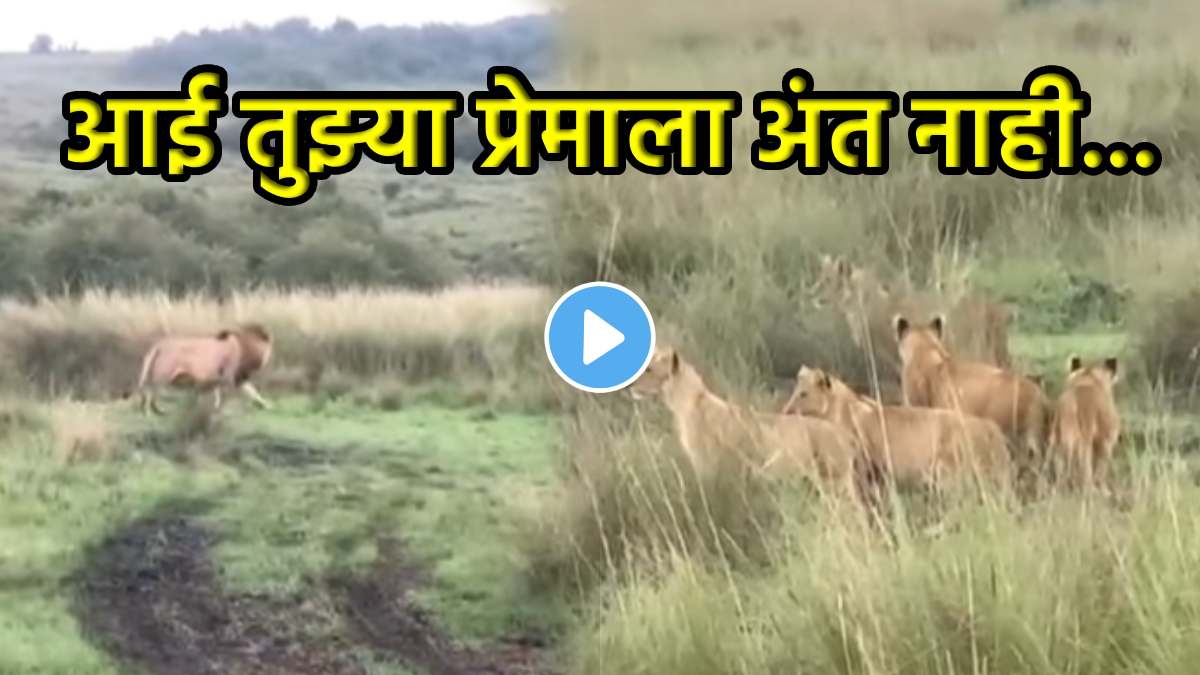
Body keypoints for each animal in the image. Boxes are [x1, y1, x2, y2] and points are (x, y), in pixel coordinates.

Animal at [136, 323, 274, 415]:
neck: (246, 346)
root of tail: (159, 345)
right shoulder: (229, 376)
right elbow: (233, 393)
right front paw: (224, 409)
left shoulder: (233, 377)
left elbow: (252, 392)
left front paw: (265, 405)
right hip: (163, 374)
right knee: (150, 391)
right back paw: (150, 412)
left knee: (152, 392)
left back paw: (157, 411)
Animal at [629, 348, 866, 497]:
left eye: (649, 369)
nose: (631, 386)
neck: (689, 400)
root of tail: (847, 436)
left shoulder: (707, 467)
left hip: (834, 482)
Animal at [781, 366, 1011, 491]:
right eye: (796, 391)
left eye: (803, 394)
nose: (786, 411)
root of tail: (992, 429)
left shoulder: (859, 466)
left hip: (950, 474)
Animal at [1049, 355, 1121, 489]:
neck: (1088, 378)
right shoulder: (1107, 441)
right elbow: (1101, 469)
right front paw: (1103, 488)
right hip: (1083, 446)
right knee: (1085, 473)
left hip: (1057, 443)